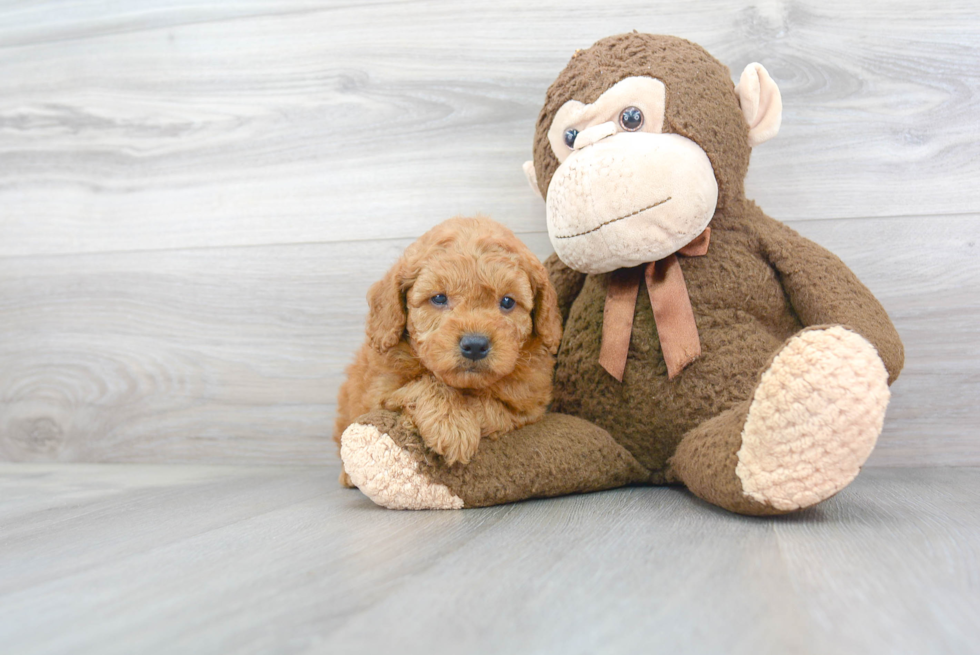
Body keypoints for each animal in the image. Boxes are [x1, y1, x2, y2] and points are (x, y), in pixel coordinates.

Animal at [334, 215, 560, 482]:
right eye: (439, 298)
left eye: (507, 301)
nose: (475, 345)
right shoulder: (379, 392)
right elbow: (425, 383)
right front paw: (451, 424)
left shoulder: (530, 406)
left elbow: (492, 406)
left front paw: (463, 418)